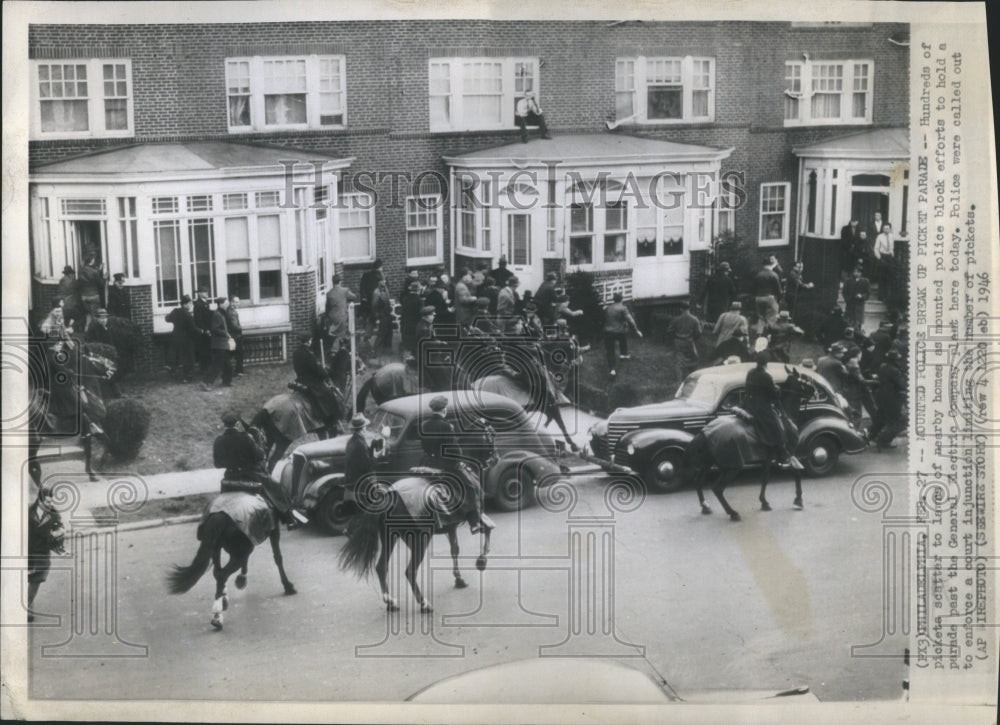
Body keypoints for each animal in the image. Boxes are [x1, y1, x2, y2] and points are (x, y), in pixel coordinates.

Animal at [28, 336, 115, 486]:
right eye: (98, 357)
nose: (113, 365)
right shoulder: (90, 427)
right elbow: (95, 448)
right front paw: (96, 471)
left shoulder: (93, 427)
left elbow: (100, 444)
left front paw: (96, 471)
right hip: (34, 440)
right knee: (32, 467)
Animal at [164, 490, 294, 632]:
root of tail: (219, 515)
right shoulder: (273, 530)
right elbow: (278, 557)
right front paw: (288, 586)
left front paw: (241, 580)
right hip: (238, 551)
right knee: (222, 574)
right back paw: (217, 615)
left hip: (218, 547)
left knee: (218, 572)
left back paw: (222, 600)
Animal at [684, 368, 816, 520]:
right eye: (804, 379)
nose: (816, 391)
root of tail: (705, 432)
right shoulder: (789, 454)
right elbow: (797, 473)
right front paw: (798, 501)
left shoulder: (768, 458)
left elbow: (764, 478)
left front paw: (764, 502)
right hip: (731, 468)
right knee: (717, 488)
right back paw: (733, 513)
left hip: (708, 463)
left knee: (698, 481)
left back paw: (705, 506)